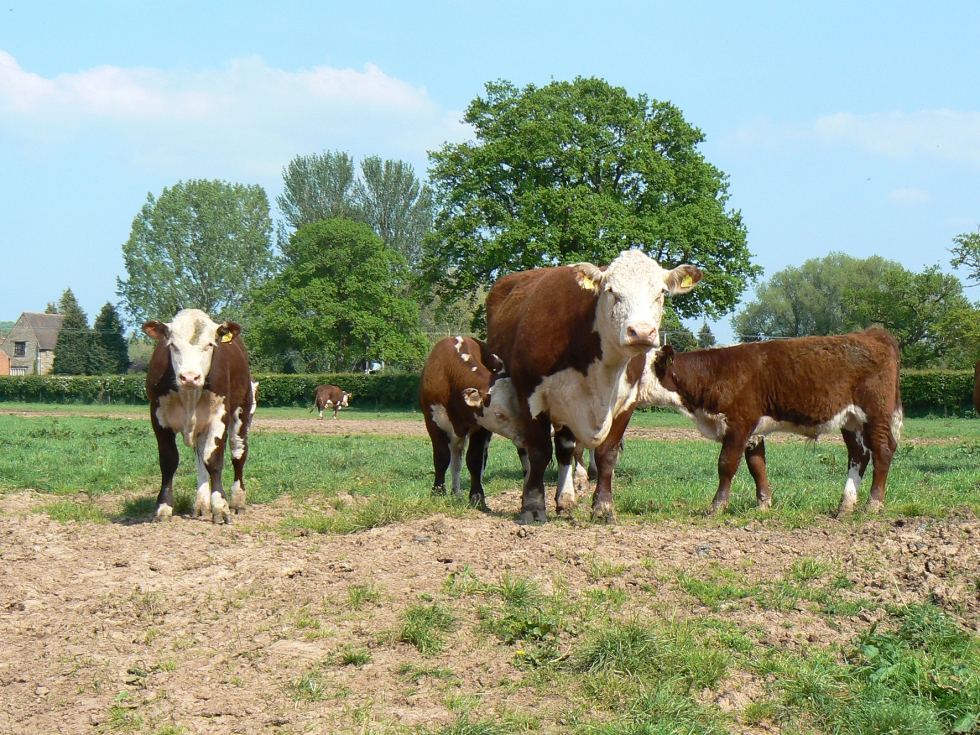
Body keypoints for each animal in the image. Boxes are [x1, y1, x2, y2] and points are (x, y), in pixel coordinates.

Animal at [144, 310, 256, 524]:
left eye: (210, 345)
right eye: (173, 345)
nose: (189, 377)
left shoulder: (219, 416)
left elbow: (214, 461)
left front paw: (220, 507)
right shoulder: (158, 418)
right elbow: (169, 462)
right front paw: (164, 507)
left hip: (243, 409)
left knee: (238, 453)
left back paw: (237, 501)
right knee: (200, 456)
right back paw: (201, 505)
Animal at [422, 336, 528, 508]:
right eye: (499, 414)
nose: (527, 438)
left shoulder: (481, 427)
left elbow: (475, 460)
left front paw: (477, 496)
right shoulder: (433, 422)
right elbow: (442, 458)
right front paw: (438, 492)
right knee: (455, 461)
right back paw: (455, 492)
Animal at [486, 252, 700, 524]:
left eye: (661, 292)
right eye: (611, 290)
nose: (641, 331)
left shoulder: (626, 402)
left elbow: (606, 454)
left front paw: (603, 507)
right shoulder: (530, 396)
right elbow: (538, 452)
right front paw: (532, 506)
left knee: (565, 449)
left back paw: (565, 498)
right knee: (530, 452)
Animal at [652, 328, 904, 516]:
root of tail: (873, 333)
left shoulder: (738, 424)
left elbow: (726, 464)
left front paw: (717, 507)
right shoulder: (754, 431)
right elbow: (757, 465)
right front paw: (763, 505)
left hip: (875, 414)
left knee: (882, 451)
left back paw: (873, 505)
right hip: (851, 420)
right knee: (858, 455)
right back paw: (845, 506)